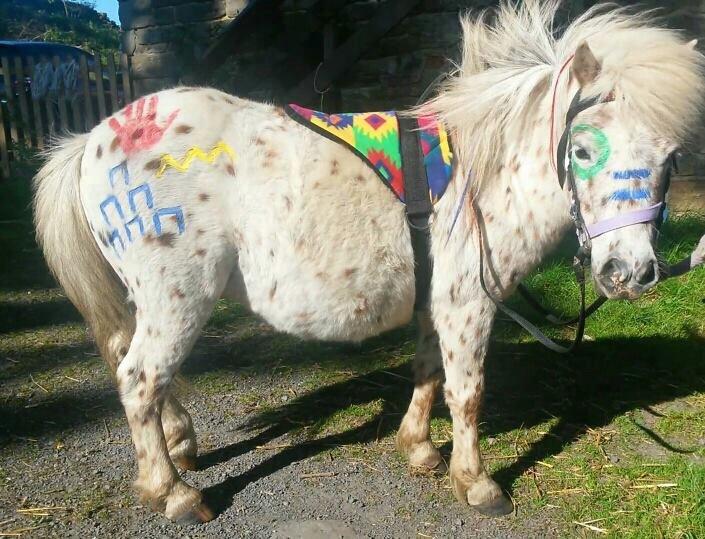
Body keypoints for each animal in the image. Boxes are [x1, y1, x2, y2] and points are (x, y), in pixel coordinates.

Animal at [33, 0, 705, 523]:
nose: (630, 274)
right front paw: (477, 484)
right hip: (177, 297)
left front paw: (421, 451)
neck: (485, 174)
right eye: (585, 150)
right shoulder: (468, 301)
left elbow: (428, 371)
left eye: (671, 157)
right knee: (139, 379)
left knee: (145, 371)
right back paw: (173, 493)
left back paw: (181, 445)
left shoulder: (438, 299)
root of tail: (92, 140)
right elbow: (468, 392)